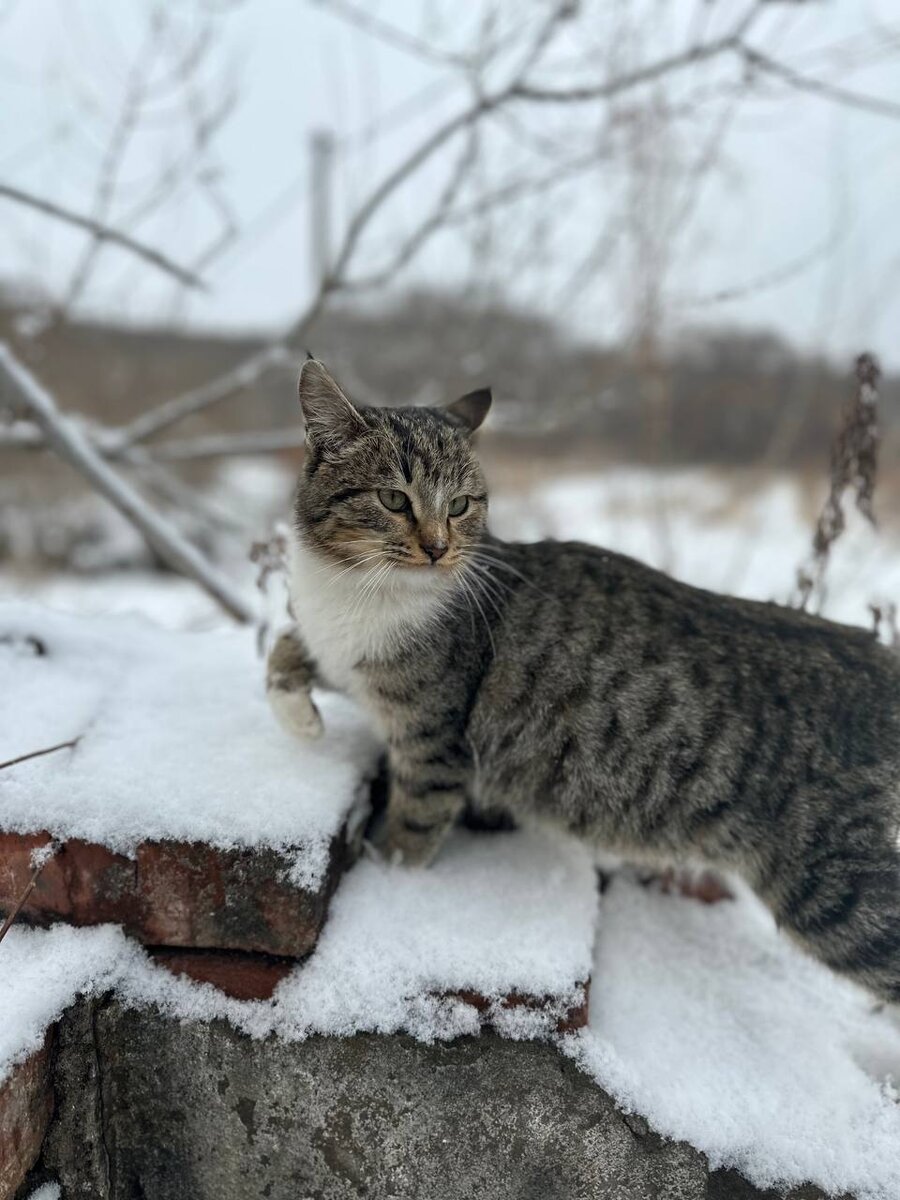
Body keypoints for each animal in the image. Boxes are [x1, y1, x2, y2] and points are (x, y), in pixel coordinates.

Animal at [270, 352, 900, 1003]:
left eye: (461, 505)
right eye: (394, 499)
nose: (438, 548)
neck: (354, 590)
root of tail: (880, 657)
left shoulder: (433, 743)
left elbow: (413, 829)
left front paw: (390, 878)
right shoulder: (338, 654)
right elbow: (285, 649)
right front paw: (303, 719)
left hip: (831, 888)